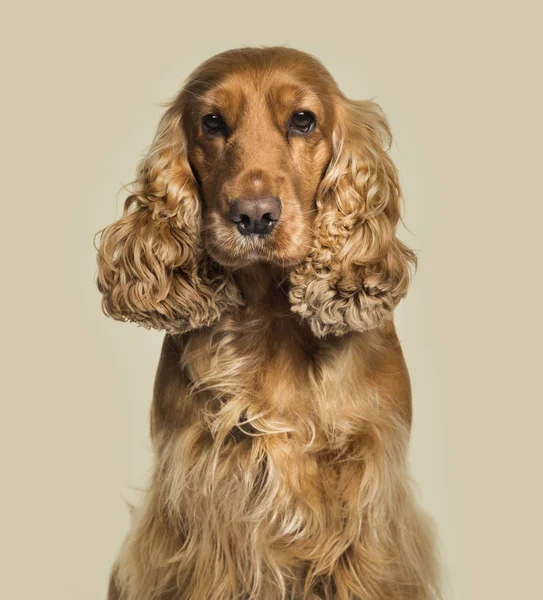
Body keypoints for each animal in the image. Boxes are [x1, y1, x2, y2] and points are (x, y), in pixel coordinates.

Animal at [98, 45, 442, 600]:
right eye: (212, 122)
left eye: (303, 120)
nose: (254, 216)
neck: (270, 314)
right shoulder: (202, 500)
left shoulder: (369, 500)